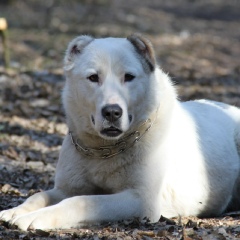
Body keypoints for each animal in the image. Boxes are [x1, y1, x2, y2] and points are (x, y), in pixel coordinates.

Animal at [0, 34, 240, 231]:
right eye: (93, 78)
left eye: (129, 77)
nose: (112, 112)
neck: (104, 149)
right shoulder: (66, 189)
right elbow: (38, 196)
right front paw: (14, 211)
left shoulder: (140, 200)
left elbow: (82, 201)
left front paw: (34, 218)